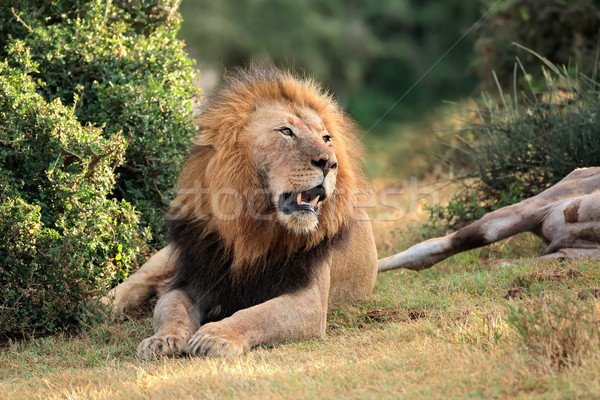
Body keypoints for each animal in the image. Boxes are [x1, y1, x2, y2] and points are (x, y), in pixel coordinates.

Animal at [102, 65, 376, 360]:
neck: (253, 226)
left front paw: (215, 336)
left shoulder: (310, 301)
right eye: (286, 131)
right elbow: (172, 311)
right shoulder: (191, 279)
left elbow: (258, 315)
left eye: (326, 138)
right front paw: (163, 339)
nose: (330, 163)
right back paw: (100, 305)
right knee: (141, 279)